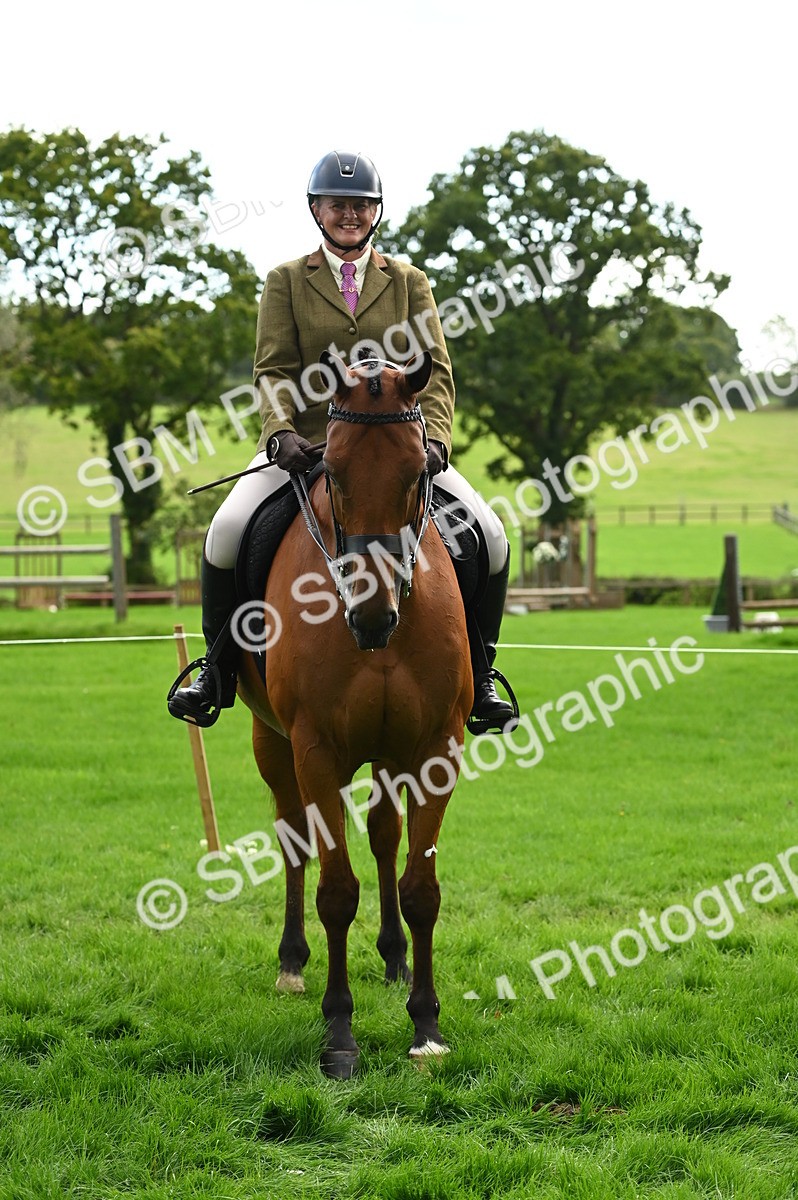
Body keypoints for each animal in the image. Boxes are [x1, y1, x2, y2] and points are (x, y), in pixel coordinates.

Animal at [236, 350, 473, 1079]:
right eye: (332, 472)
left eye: (419, 471)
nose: (373, 618)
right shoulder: (316, 749)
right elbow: (336, 891)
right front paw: (339, 1035)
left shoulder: (435, 748)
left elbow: (421, 887)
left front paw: (426, 1025)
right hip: (272, 742)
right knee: (294, 837)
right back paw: (291, 963)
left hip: (390, 754)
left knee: (384, 835)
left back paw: (395, 960)